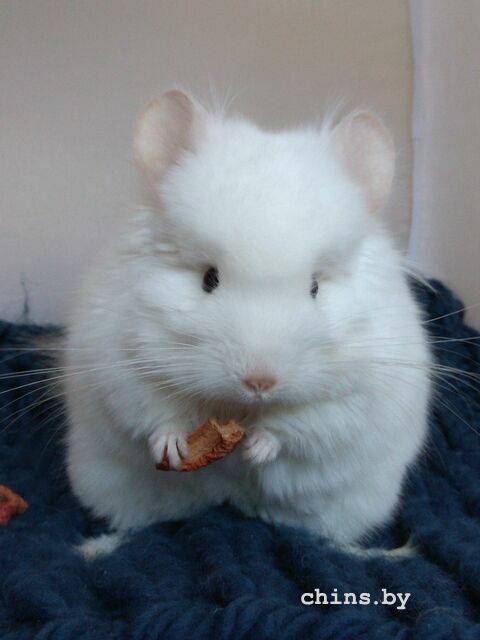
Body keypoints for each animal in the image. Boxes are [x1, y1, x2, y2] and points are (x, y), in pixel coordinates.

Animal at [64, 90, 431, 557]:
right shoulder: (123, 365)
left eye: (315, 286)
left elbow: (302, 425)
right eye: (208, 278)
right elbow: (158, 412)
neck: (240, 409)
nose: (259, 382)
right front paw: (175, 447)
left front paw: (256, 450)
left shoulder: (353, 396)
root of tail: (228, 501)